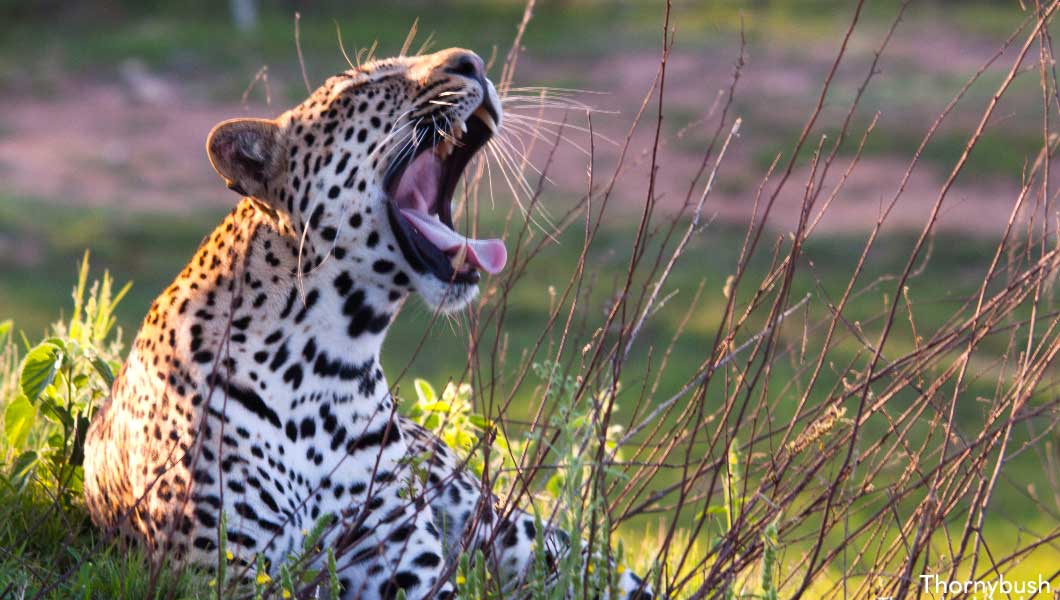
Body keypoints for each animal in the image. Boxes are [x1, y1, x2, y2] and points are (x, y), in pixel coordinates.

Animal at [82, 48, 648, 600]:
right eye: (364, 87)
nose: (474, 63)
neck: (326, 363)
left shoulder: (403, 561)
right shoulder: (218, 574)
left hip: (521, 534)